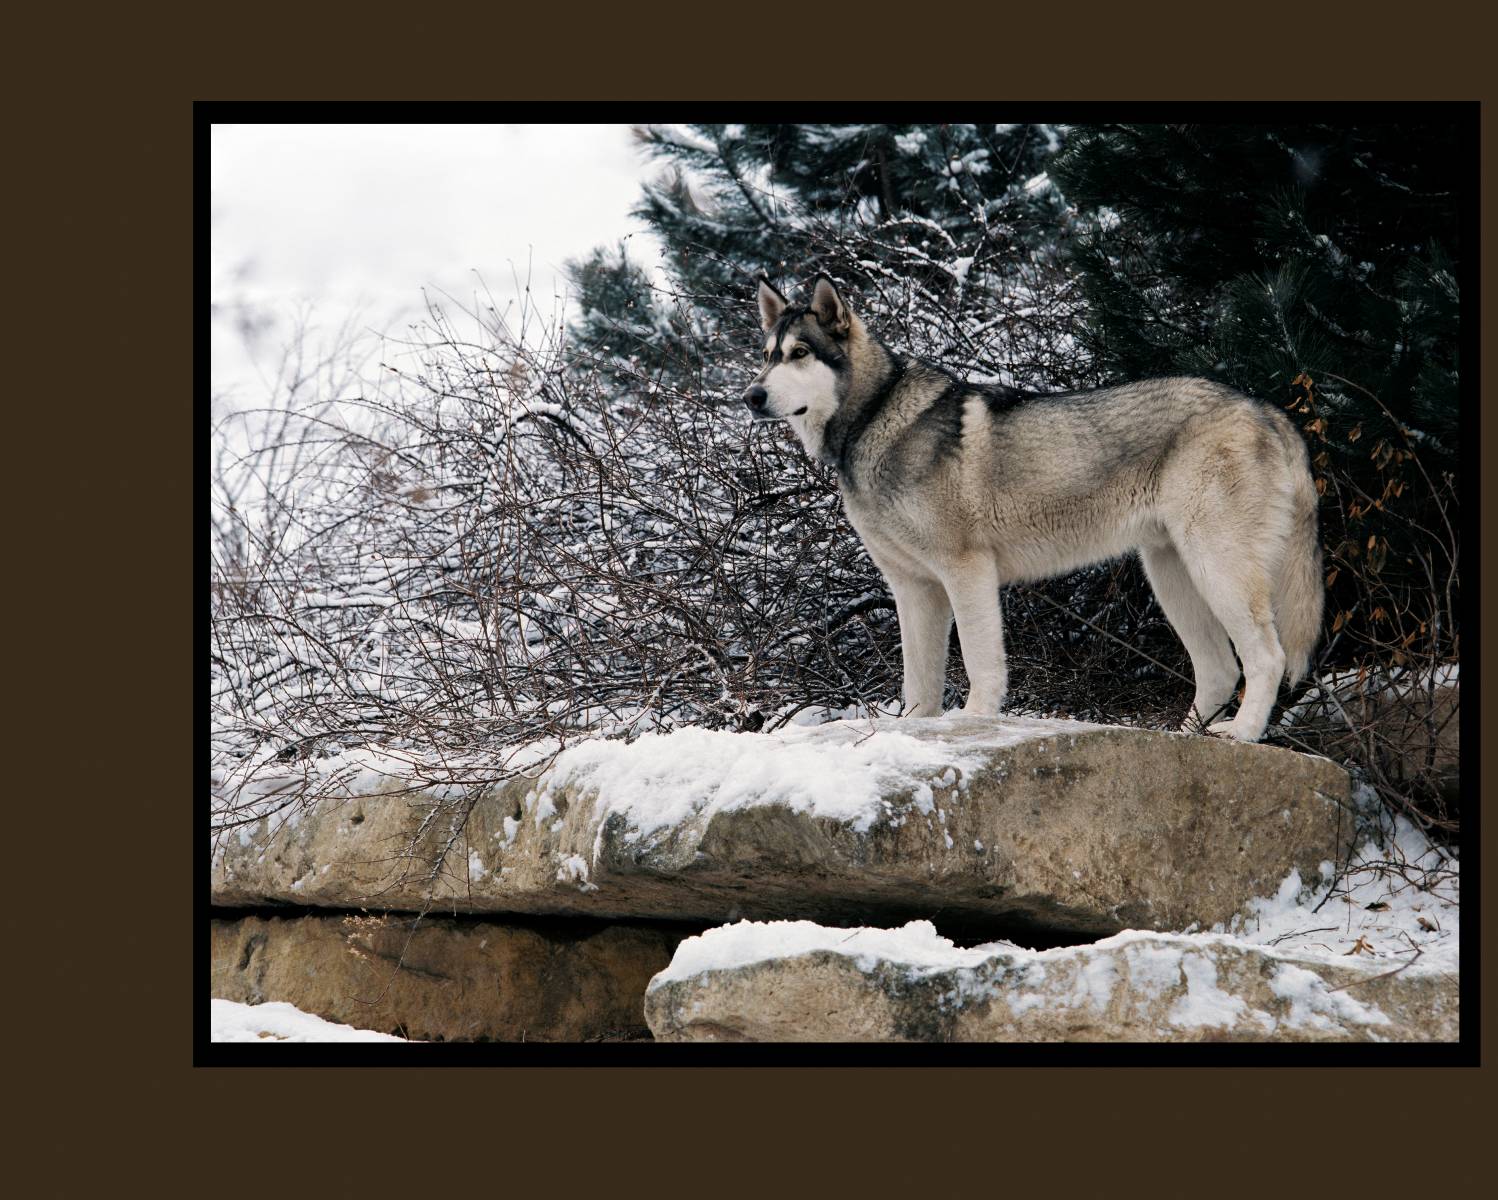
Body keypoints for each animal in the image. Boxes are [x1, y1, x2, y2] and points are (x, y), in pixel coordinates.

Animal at [743, 274, 1323, 743]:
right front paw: (915, 732)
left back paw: (1243, 735)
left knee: (1266, 658)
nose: (751, 396)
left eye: (800, 353)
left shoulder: (966, 572)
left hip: (1216, 569)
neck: (873, 419)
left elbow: (980, 663)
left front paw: (974, 720)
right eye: (768, 355)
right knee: (1220, 670)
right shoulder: (913, 588)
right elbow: (918, 688)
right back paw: (1184, 739)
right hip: (1171, 575)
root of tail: (1265, 409)